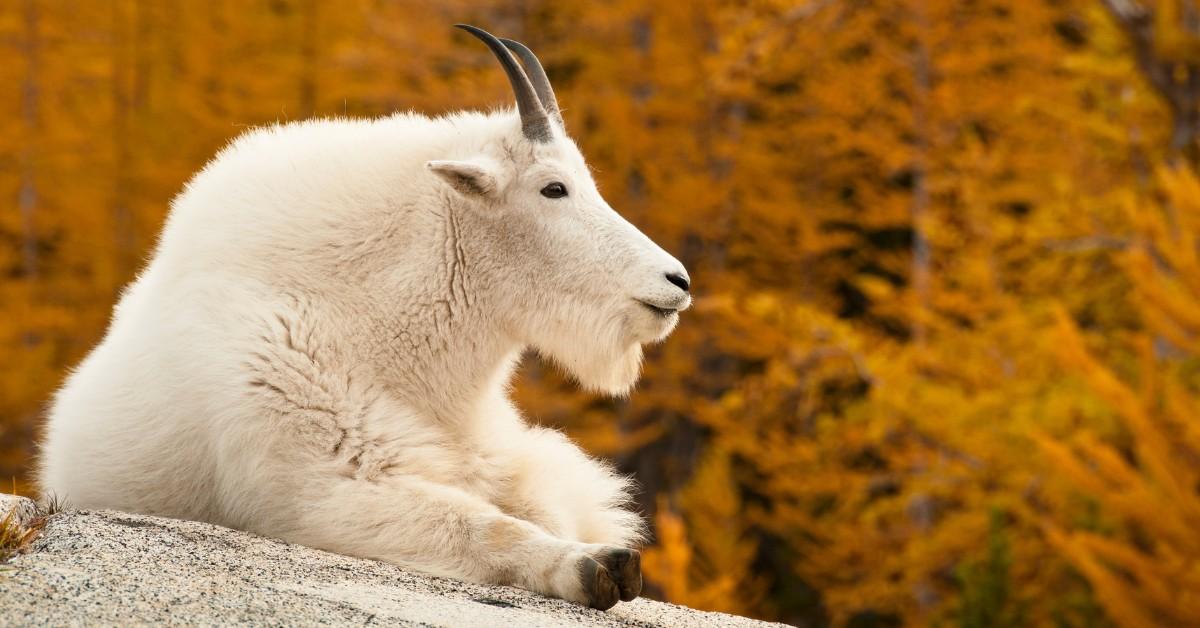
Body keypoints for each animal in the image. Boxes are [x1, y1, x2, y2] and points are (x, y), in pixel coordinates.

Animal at [37, 27, 691, 612]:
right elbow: (480, 525)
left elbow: (540, 507)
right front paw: (591, 567)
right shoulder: (324, 487)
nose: (676, 282)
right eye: (553, 188)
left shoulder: (508, 465)